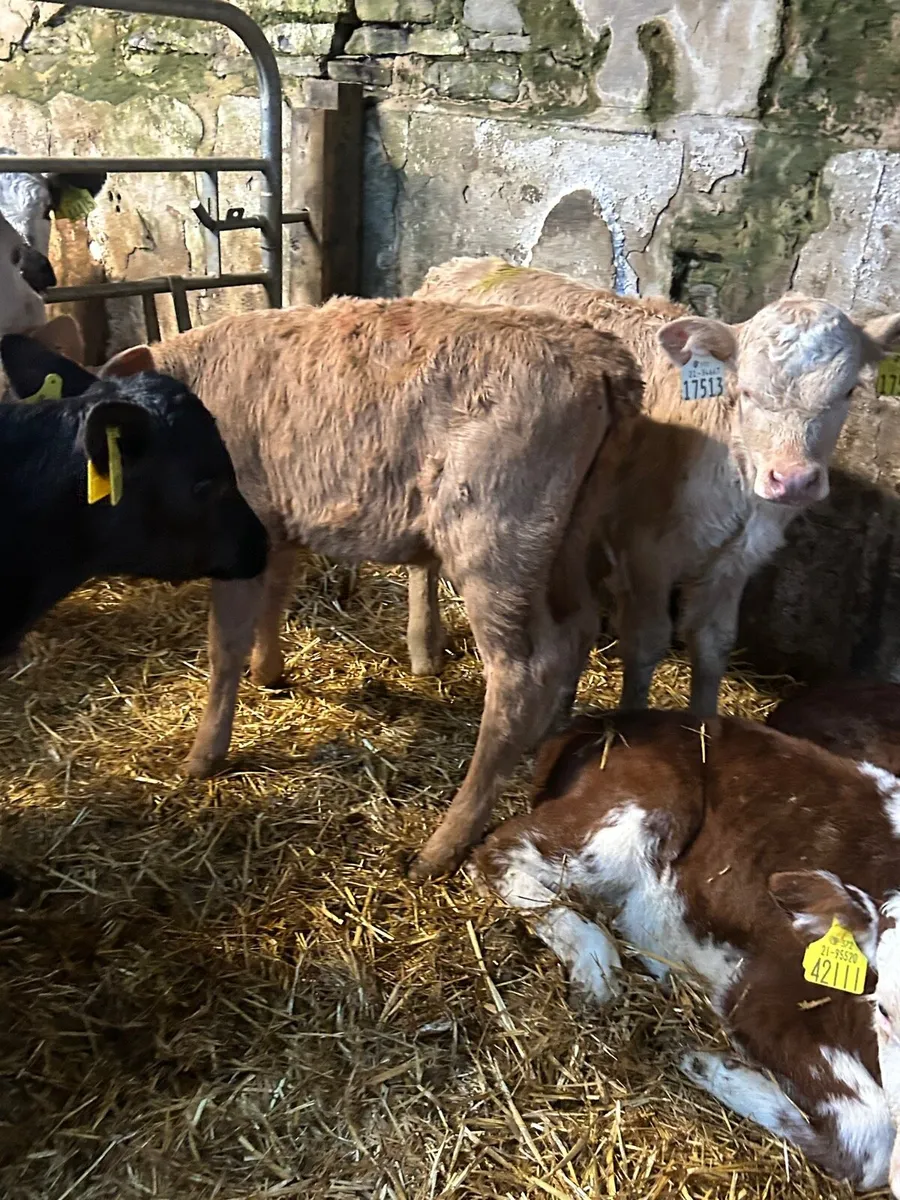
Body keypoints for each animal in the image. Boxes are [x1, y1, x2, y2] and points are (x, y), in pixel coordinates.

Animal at [97, 297, 644, 878]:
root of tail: (601, 359)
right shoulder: (278, 525)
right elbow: (274, 600)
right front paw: (269, 673)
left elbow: (225, 646)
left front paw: (203, 756)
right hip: (573, 534)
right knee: (576, 630)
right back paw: (548, 734)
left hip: (494, 541)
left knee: (521, 674)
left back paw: (443, 844)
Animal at [412, 258, 900, 716]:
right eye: (745, 391)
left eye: (849, 392)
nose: (793, 479)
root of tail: (465, 265)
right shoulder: (645, 551)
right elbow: (647, 643)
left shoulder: (736, 560)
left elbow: (713, 645)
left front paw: (704, 727)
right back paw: (424, 649)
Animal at [471, 709, 900, 1194]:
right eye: (884, 1008)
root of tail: (607, 720)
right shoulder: (762, 991)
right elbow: (870, 1142)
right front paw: (708, 1065)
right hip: (632, 817)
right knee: (500, 852)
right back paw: (596, 967)